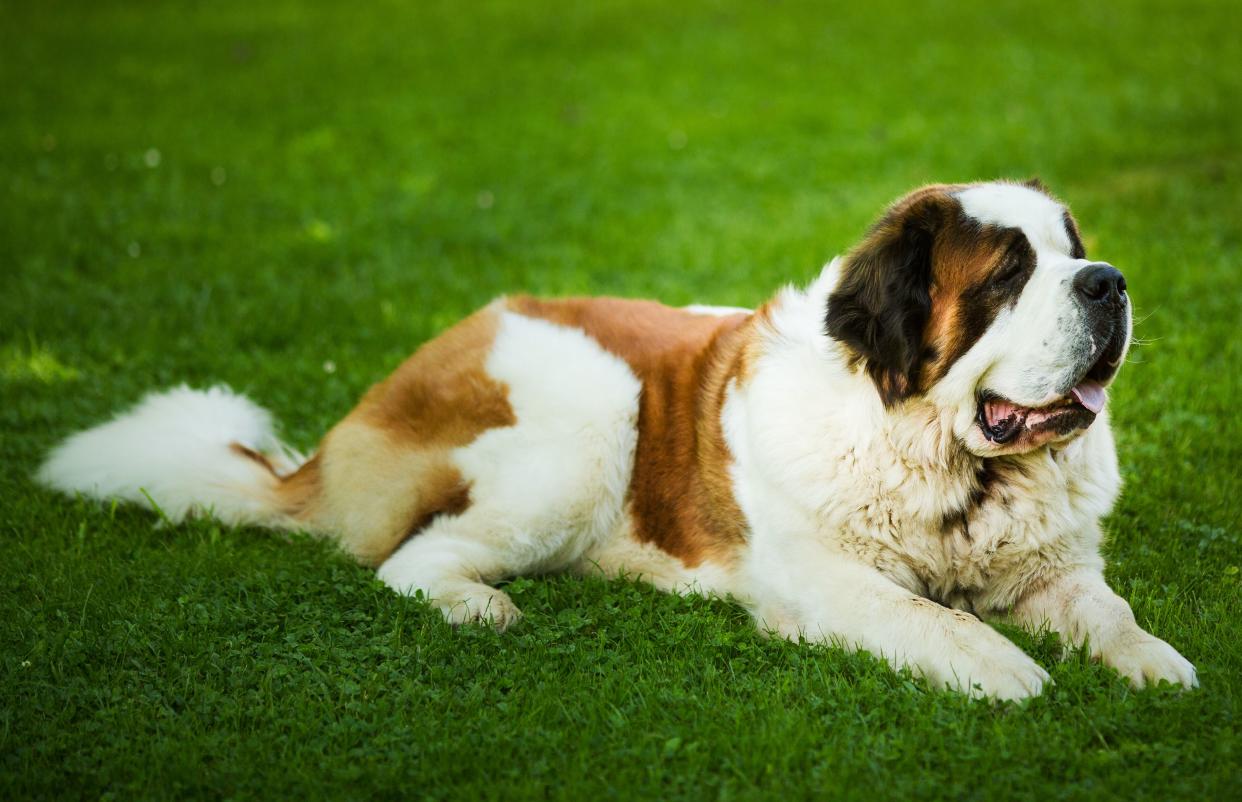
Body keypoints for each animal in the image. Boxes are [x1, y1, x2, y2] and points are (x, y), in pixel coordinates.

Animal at [43, 181, 1197, 695]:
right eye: (1007, 273)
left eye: (1074, 250)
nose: (1108, 283)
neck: (954, 464)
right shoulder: (828, 579)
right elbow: (935, 618)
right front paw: (1010, 672)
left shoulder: (1052, 562)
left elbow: (1109, 609)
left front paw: (1157, 665)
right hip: (594, 415)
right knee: (409, 559)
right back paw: (478, 604)